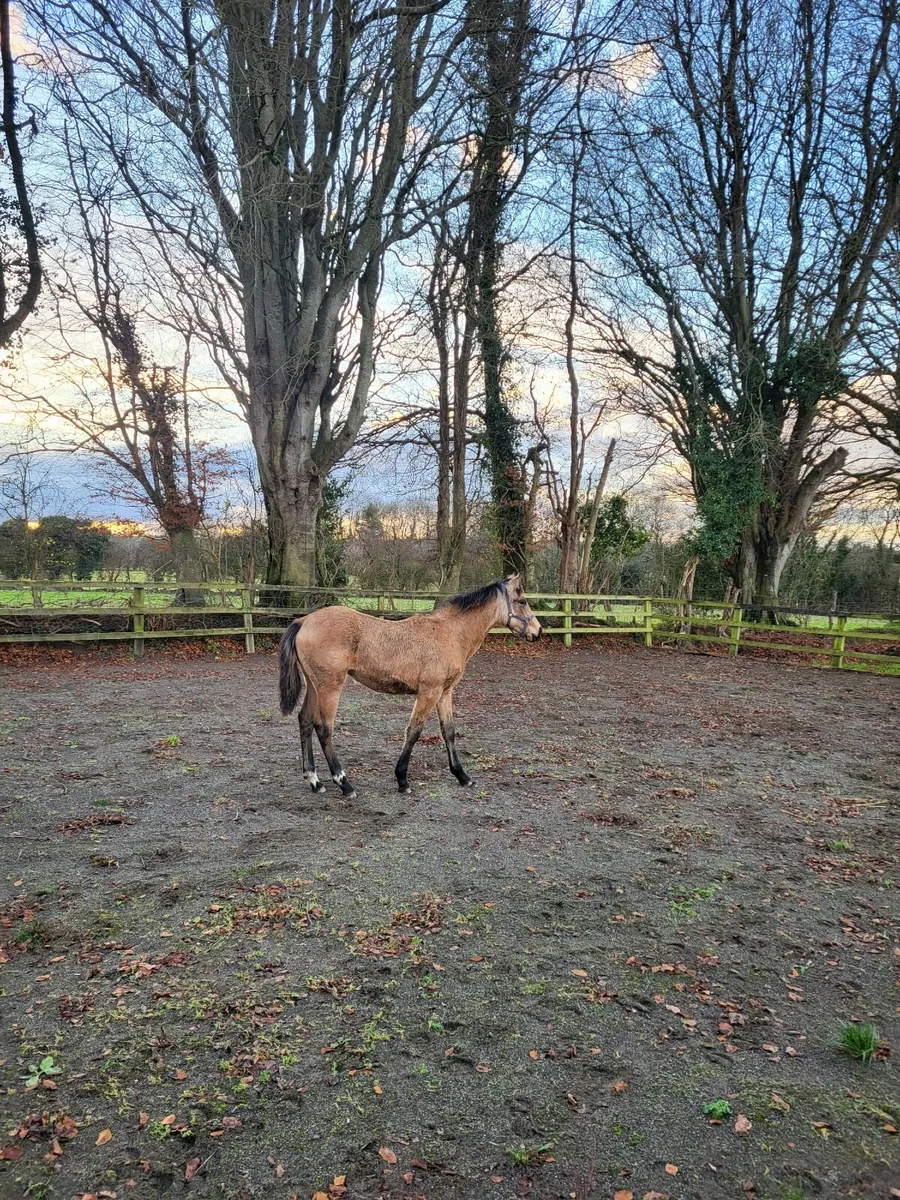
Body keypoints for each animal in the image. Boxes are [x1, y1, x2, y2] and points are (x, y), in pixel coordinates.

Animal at [278, 574, 542, 798]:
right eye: (522, 600)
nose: (538, 631)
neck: (449, 633)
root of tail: (304, 621)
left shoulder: (445, 692)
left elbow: (449, 731)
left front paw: (462, 775)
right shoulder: (429, 692)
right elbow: (414, 732)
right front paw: (402, 780)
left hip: (314, 686)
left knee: (305, 720)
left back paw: (314, 780)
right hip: (329, 687)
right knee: (324, 728)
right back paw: (344, 784)